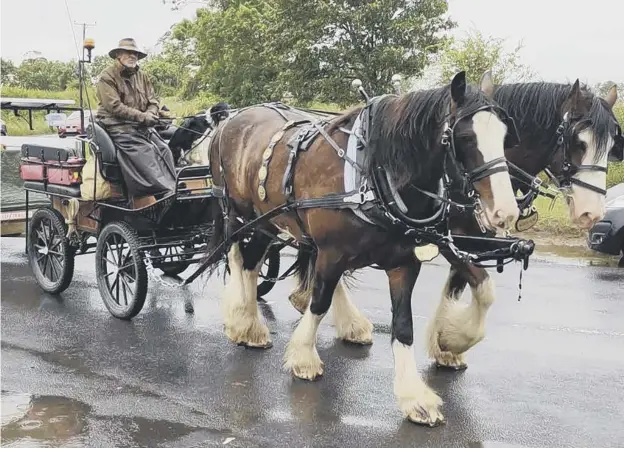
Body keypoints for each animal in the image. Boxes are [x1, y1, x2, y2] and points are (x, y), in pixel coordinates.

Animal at [206, 72, 520, 426]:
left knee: (254, 263)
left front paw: (418, 391)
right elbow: (319, 302)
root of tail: (231, 119)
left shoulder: (406, 261)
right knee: (242, 260)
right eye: (465, 137)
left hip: (272, 223)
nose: (505, 212)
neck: (374, 173)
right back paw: (245, 323)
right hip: (244, 216)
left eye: (506, 135)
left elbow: (405, 325)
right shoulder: (332, 251)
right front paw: (304, 357)